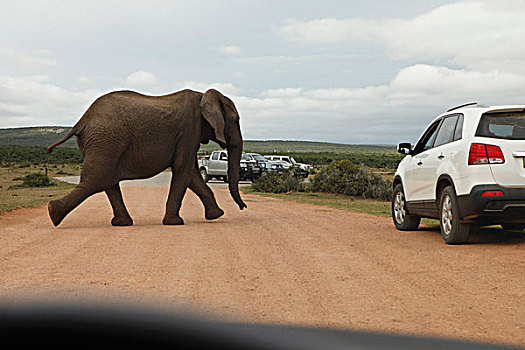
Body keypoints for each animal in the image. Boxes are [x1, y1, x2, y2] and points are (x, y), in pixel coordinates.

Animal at [46, 88, 247, 227]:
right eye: (235, 120)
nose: (243, 207)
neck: (202, 95)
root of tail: (82, 120)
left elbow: (192, 174)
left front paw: (217, 215)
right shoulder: (190, 130)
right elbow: (184, 169)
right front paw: (175, 223)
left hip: (105, 143)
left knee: (107, 180)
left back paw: (122, 223)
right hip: (106, 139)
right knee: (98, 179)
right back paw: (53, 213)